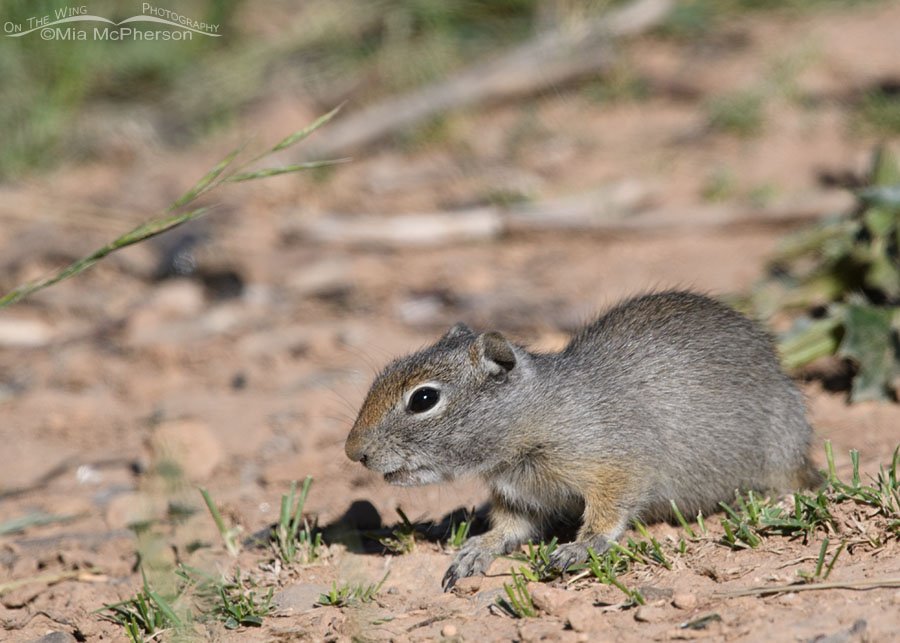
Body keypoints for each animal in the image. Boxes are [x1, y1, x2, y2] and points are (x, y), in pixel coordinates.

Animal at [345, 291, 821, 590]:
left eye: (424, 398)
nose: (354, 452)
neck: (534, 420)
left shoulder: (617, 466)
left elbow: (607, 514)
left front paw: (579, 547)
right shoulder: (520, 498)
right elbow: (509, 528)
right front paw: (476, 550)